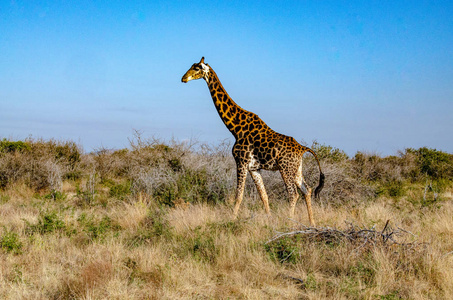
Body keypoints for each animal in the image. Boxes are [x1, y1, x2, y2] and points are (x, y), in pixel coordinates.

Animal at [181, 56, 324, 225]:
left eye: (197, 68)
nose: (183, 78)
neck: (236, 129)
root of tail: (302, 148)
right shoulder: (254, 168)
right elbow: (264, 196)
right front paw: (269, 220)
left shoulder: (241, 162)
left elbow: (239, 195)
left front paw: (231, 220)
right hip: (296, 169)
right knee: (307, 190)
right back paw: (312, 223)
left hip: (285, 168)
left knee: (293, 193)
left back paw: (289, 221)